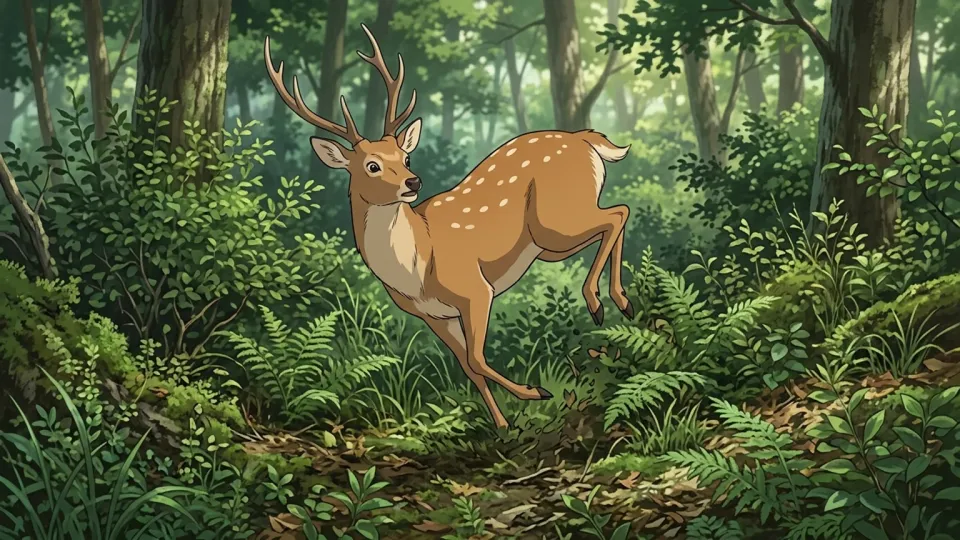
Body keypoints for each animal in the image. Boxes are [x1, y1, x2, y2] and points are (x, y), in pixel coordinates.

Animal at [264, 24, 633, 429]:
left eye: (405, 156)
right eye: (372, 165)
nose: (413, 182)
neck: (418, 267)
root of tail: (584, 139)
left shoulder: (476, 289)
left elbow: (476, 358)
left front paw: (535, 392)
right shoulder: (433, 316)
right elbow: (468, 367)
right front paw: (502, 425)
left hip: (555, 221)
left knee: (618, 212)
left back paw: (604, 302)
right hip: (548, 244)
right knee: (615, 216)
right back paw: (615, 302)